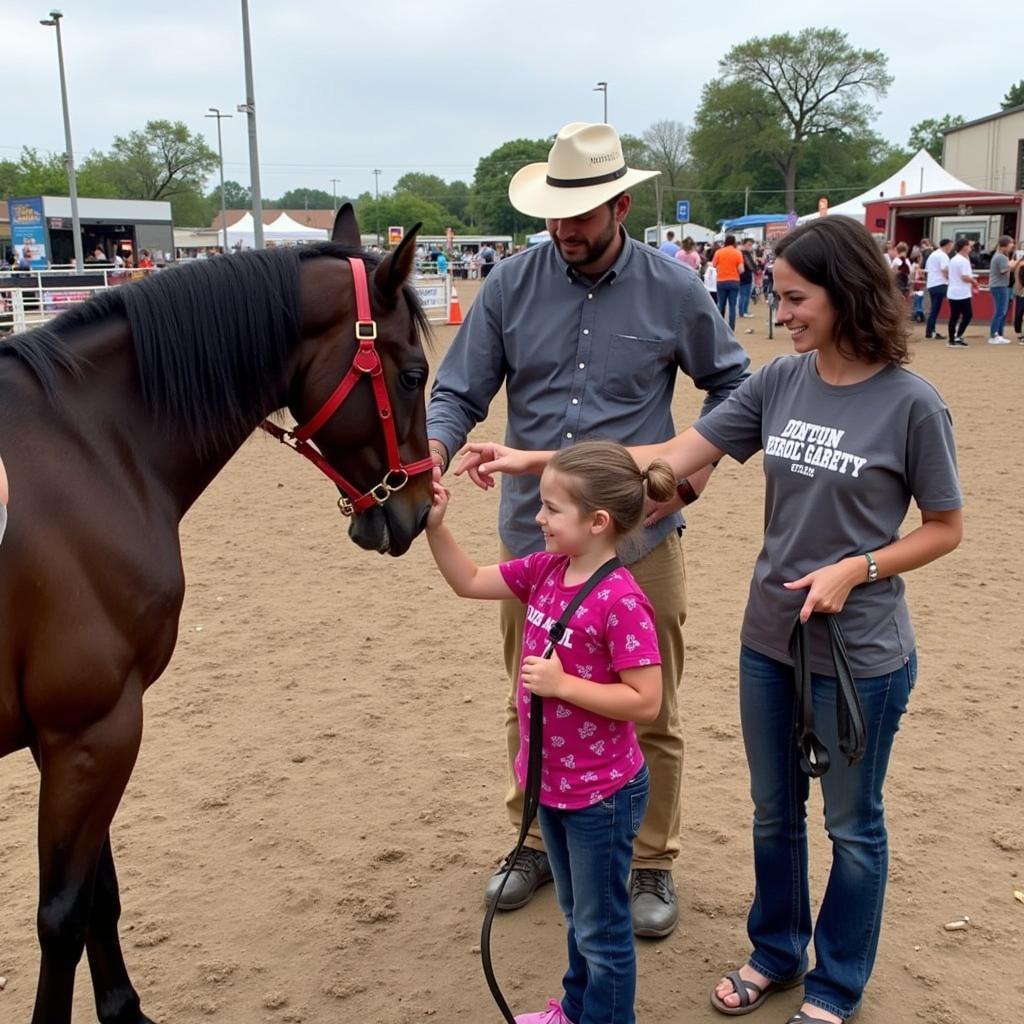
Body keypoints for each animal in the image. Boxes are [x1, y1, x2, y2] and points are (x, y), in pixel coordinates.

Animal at [0, 203, 434, 1019]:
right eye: (414, 372)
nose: (419, 510)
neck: (88, 451)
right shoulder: (93, 727)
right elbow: (62, 916)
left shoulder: (80, 734)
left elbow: (98, 894)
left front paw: (124, 1008)